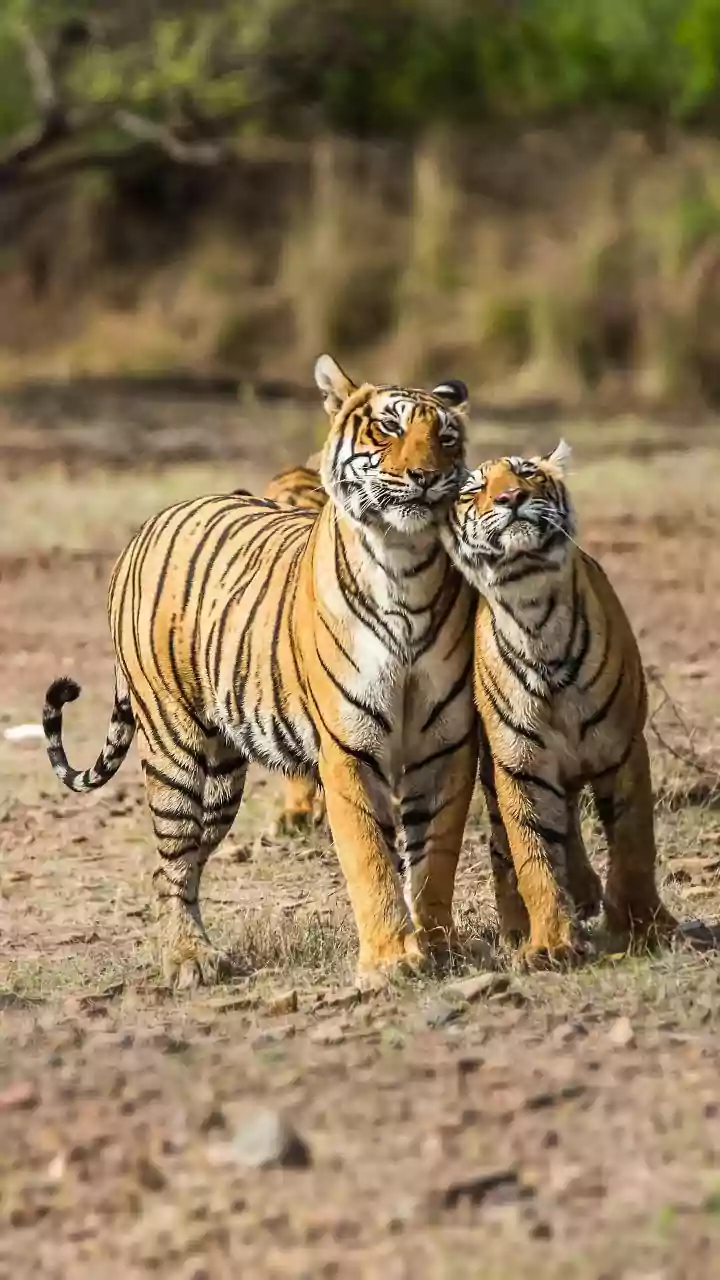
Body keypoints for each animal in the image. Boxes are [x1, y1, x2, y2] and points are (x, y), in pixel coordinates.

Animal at [43, 355, 478, 991]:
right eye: (388, 429)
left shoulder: (446, 745)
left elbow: (436, 855)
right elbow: (370, 857)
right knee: (174, 861)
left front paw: (441, 947)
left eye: (445, 438)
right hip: (173, 751)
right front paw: (392, 960)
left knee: (179, 865)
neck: (405, 570)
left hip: (223, 776)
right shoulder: (349, 748)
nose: (425, 476)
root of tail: (151, 523)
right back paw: (189, 960)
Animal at [441, 441, 677, 967]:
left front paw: (644, 925)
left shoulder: (623, 749)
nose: (510, 497)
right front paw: (549, 942)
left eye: (528, 473)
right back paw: (517, 927)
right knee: (504, 845)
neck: (534, 613)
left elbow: (633, 842)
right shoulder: (520, 765)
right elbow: (534, 855)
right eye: (473, 490)